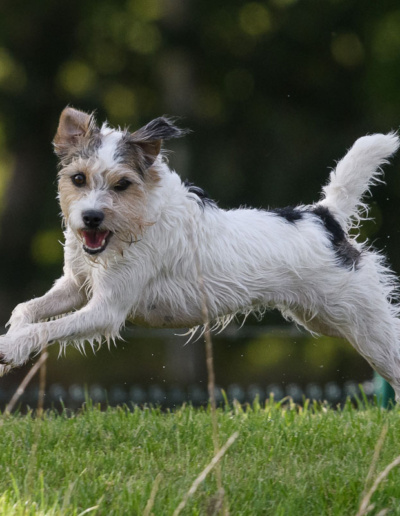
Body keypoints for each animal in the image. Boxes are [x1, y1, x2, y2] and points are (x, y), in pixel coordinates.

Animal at [0, 107, 400, 402]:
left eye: (123, 184)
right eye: (78, 179)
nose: (91, 217)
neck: (137, 221)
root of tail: (324, 217)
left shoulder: (105, 310)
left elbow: (46, 329)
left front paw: (11, 347)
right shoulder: (77, 286)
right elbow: (26, 310)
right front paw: (12, 341)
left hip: (365, 324)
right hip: (326, 319)